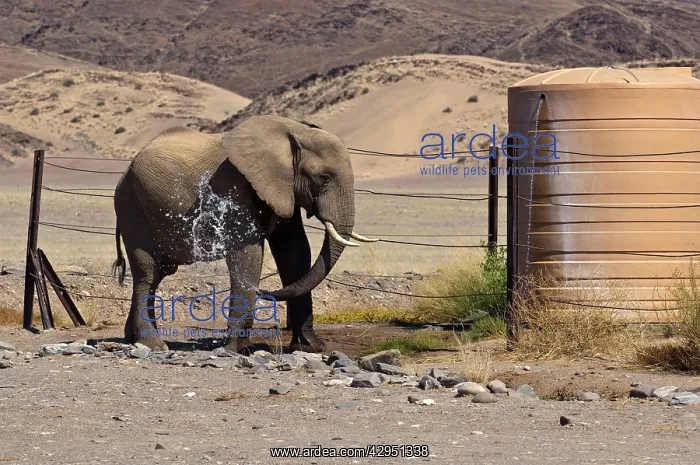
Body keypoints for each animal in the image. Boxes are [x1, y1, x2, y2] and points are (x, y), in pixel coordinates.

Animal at [111, 115, 376, 353]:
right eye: (324, 178)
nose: (264, 292)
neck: (293, 131)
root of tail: (123, 174)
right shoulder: (233, 187)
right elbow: (248, 254)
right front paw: (237, 350)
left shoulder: (283, 189)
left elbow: (295, 251)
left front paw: (310, 347)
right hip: (132, 208)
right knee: (147, 274)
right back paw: (154, 345)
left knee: (158, 275)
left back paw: (133, 339)